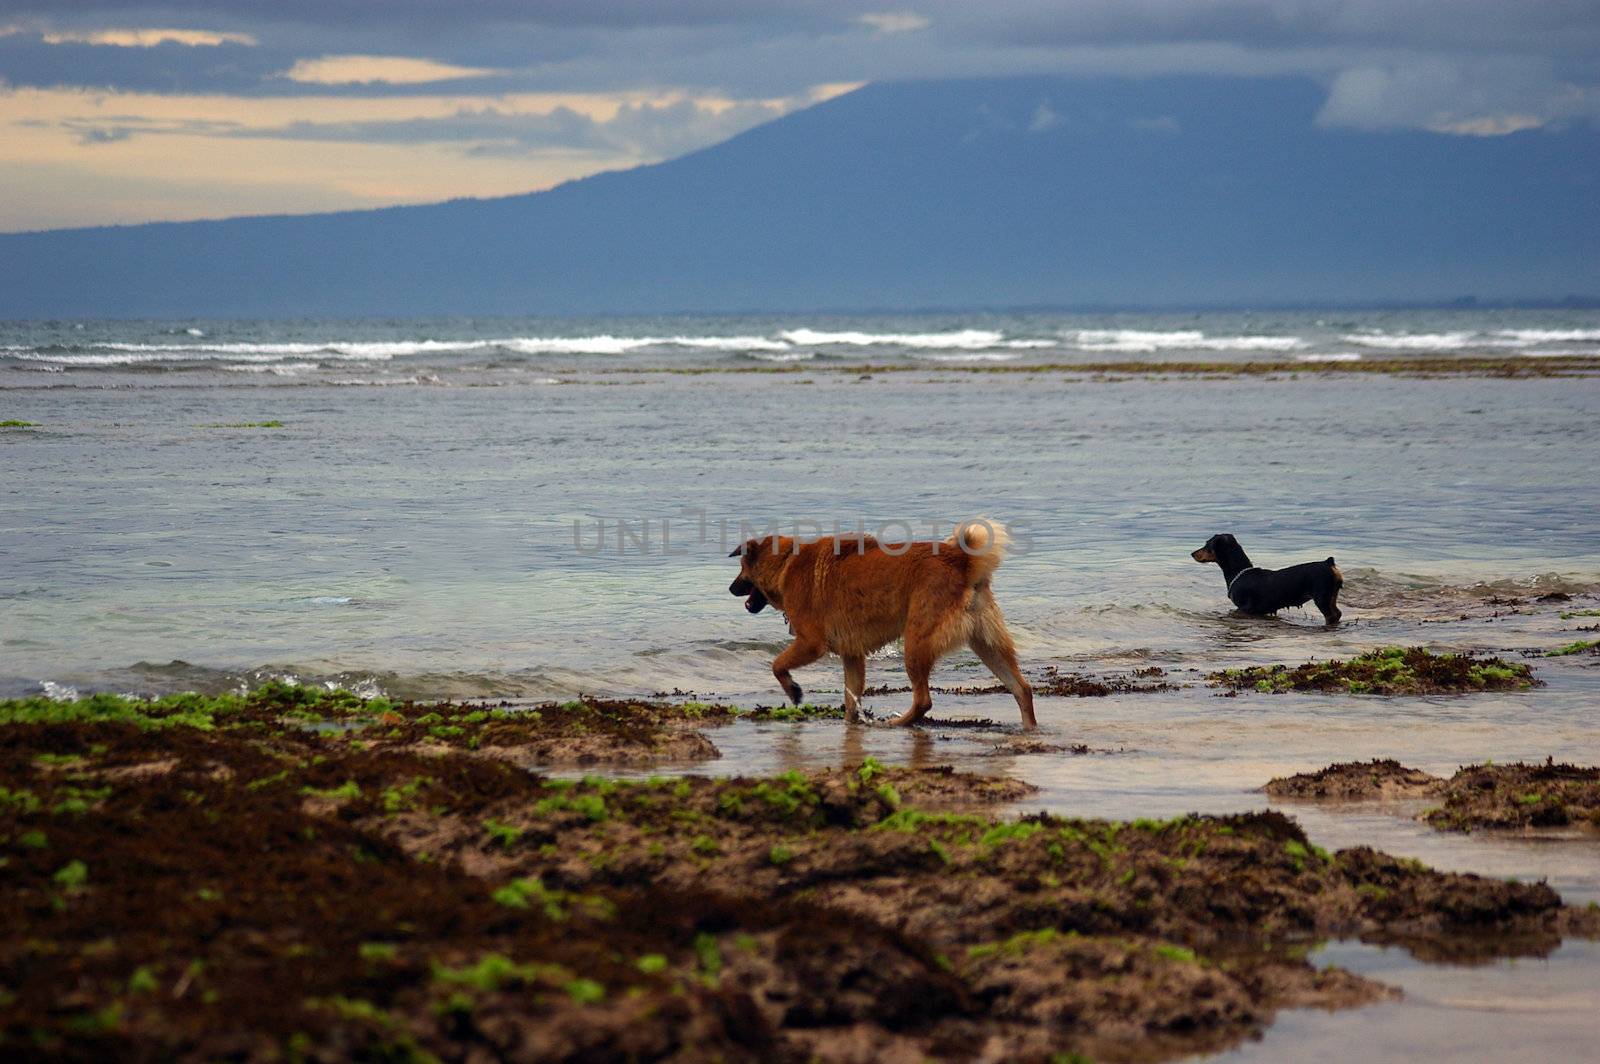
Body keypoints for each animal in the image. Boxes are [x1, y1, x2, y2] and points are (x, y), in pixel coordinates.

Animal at [729, 518, 1036, 726]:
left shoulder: (810, 644)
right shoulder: (852, 656)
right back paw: (1029, 728)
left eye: (741, 568)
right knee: (1022, 689)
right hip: (988, 645)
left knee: (923, 700)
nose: (731, 589)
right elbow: (851, 698)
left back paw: (898, 723)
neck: (785, 562)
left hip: (916, 643)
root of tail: (961, 560)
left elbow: (777, 664)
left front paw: (793, 690)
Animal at [1196, 531, 1344, 624]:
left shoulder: (1245, 608)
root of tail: (1328, 563)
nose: (1192, 553)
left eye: (1207, 544)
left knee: (1331, 616)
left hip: (1322, 598)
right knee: (1338, 614)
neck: (1240, 572)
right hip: (1332, 596)